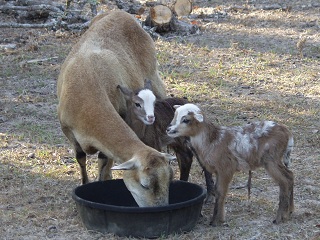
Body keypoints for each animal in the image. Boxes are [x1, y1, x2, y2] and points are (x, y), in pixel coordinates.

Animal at [57, 10, 172, 207]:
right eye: (145, 185)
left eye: (168, 181)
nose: (162, 209)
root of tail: (121, 12)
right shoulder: (68, 130)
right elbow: (81, 158)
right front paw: (86, 183)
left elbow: (103, 160)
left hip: (154, 78)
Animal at [168, 103, 296, 225]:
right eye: (174, 116)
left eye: (186, 120)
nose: (168, 129)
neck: (212, 142)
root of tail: (287, 132)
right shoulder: (219, 171)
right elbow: (218, 191)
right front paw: (219, 219)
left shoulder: (226, 167)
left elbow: (221, 191)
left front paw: (216, 221)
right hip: (274, 159)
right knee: (290, 175)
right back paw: (289, 212)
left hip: (271, 159)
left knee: (284, 181)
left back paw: (279, 218)